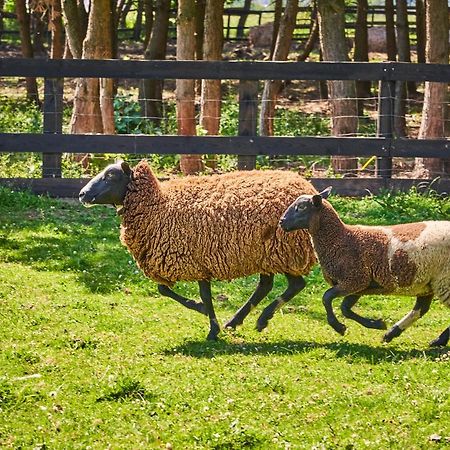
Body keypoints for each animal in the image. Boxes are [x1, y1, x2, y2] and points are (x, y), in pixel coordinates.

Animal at [79, 160, 316, 340]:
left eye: (111, 176)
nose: (82, 194)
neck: (157, 205)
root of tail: (306, 186)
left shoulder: (196, 259)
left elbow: (202, 295)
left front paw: (210, 326)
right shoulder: (195, 261)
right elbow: (164, 289)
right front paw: (210, 321)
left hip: (285, 250)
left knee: (296, 284)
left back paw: (262, 319)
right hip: (265, 254)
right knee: (266, 285)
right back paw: (235, 322)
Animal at [280, 188, 450, 346]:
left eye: (301, 207)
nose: (282, 221)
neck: (340, 238)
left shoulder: (354, 279)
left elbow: (326, 297)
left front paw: (339, 327)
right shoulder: (360, 285)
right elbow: (345, 309)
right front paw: (377, 324)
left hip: (444, 281)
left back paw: (438, 340)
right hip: (427, 283)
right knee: (420, 309)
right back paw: (392, 334)